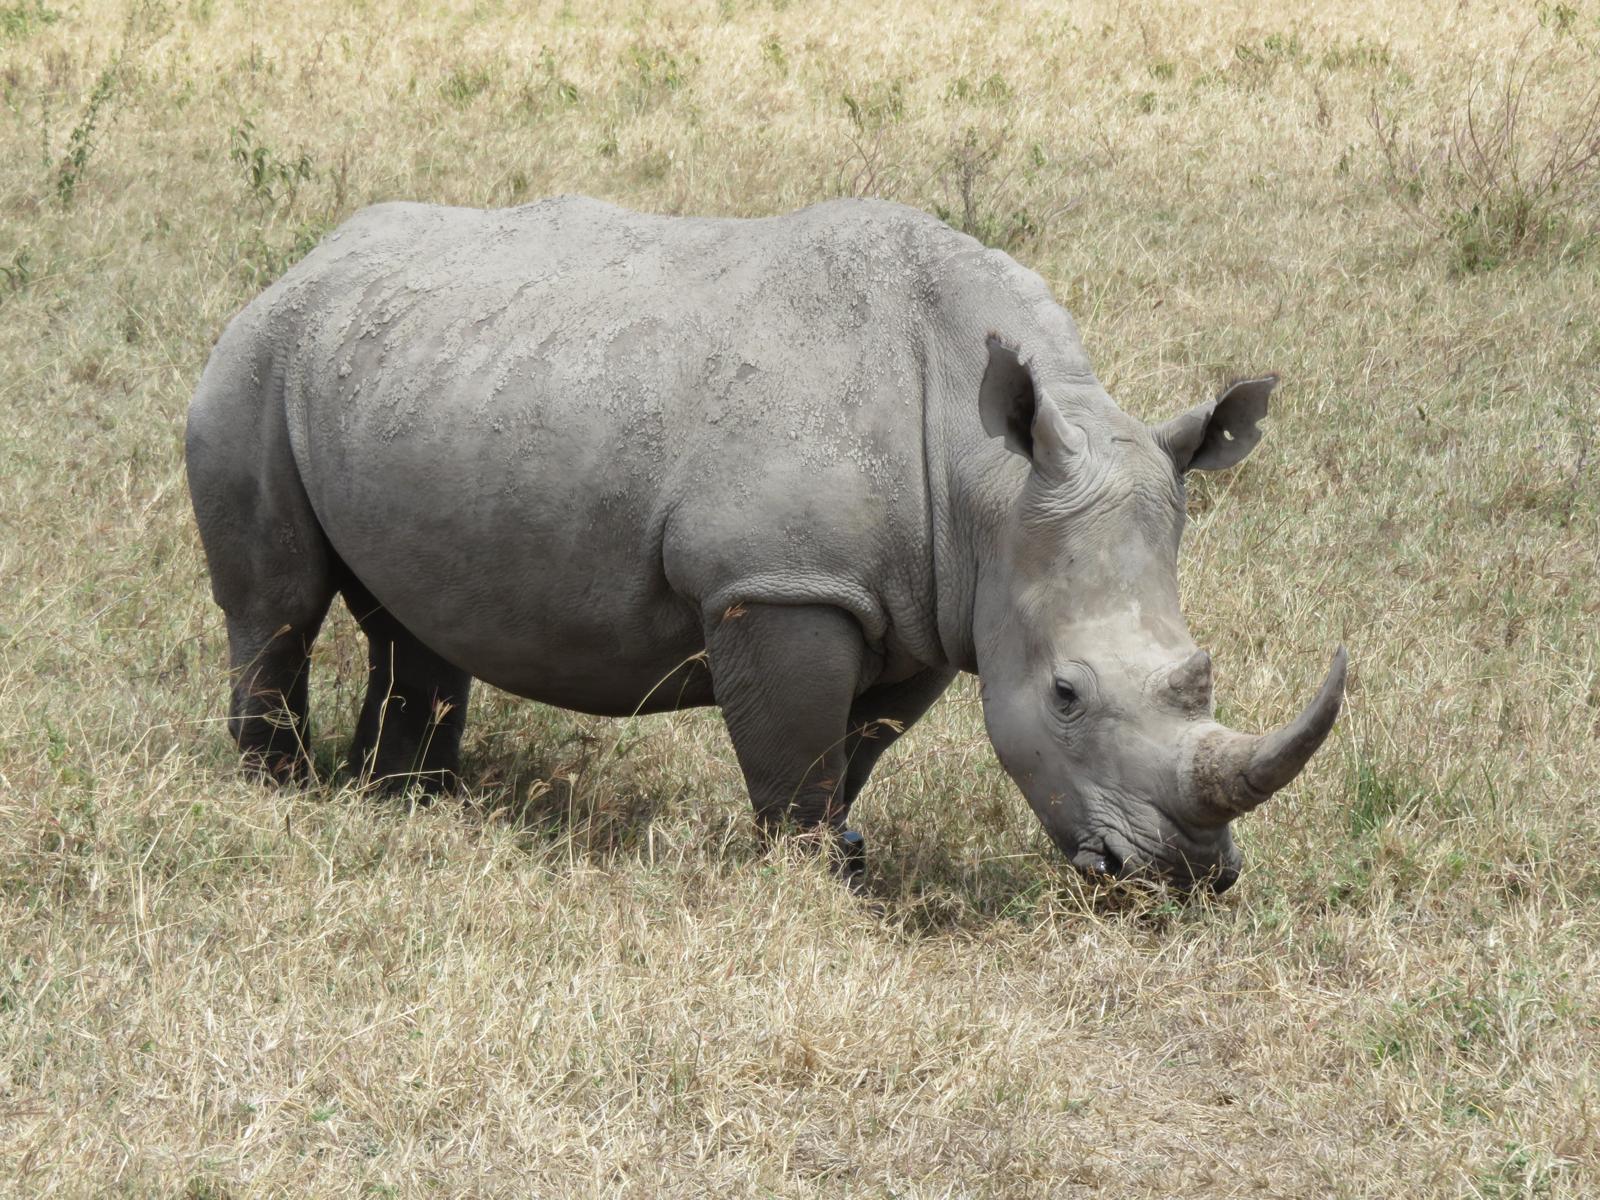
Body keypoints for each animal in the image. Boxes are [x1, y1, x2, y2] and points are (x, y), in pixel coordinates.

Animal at [186, 195, 1345, 891]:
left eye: (1197, 672)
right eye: (1067, 694)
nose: (1187, 876)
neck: (991, 479)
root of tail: (309, 258)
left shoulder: (929, 602)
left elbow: (858, 745)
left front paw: (845, 854)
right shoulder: (781, 582)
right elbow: (794, 745)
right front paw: (803, 878)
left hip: (418, 367)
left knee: (415, 621)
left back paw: (409, 802)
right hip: (256, 359)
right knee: (276, 605)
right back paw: (283, 790)